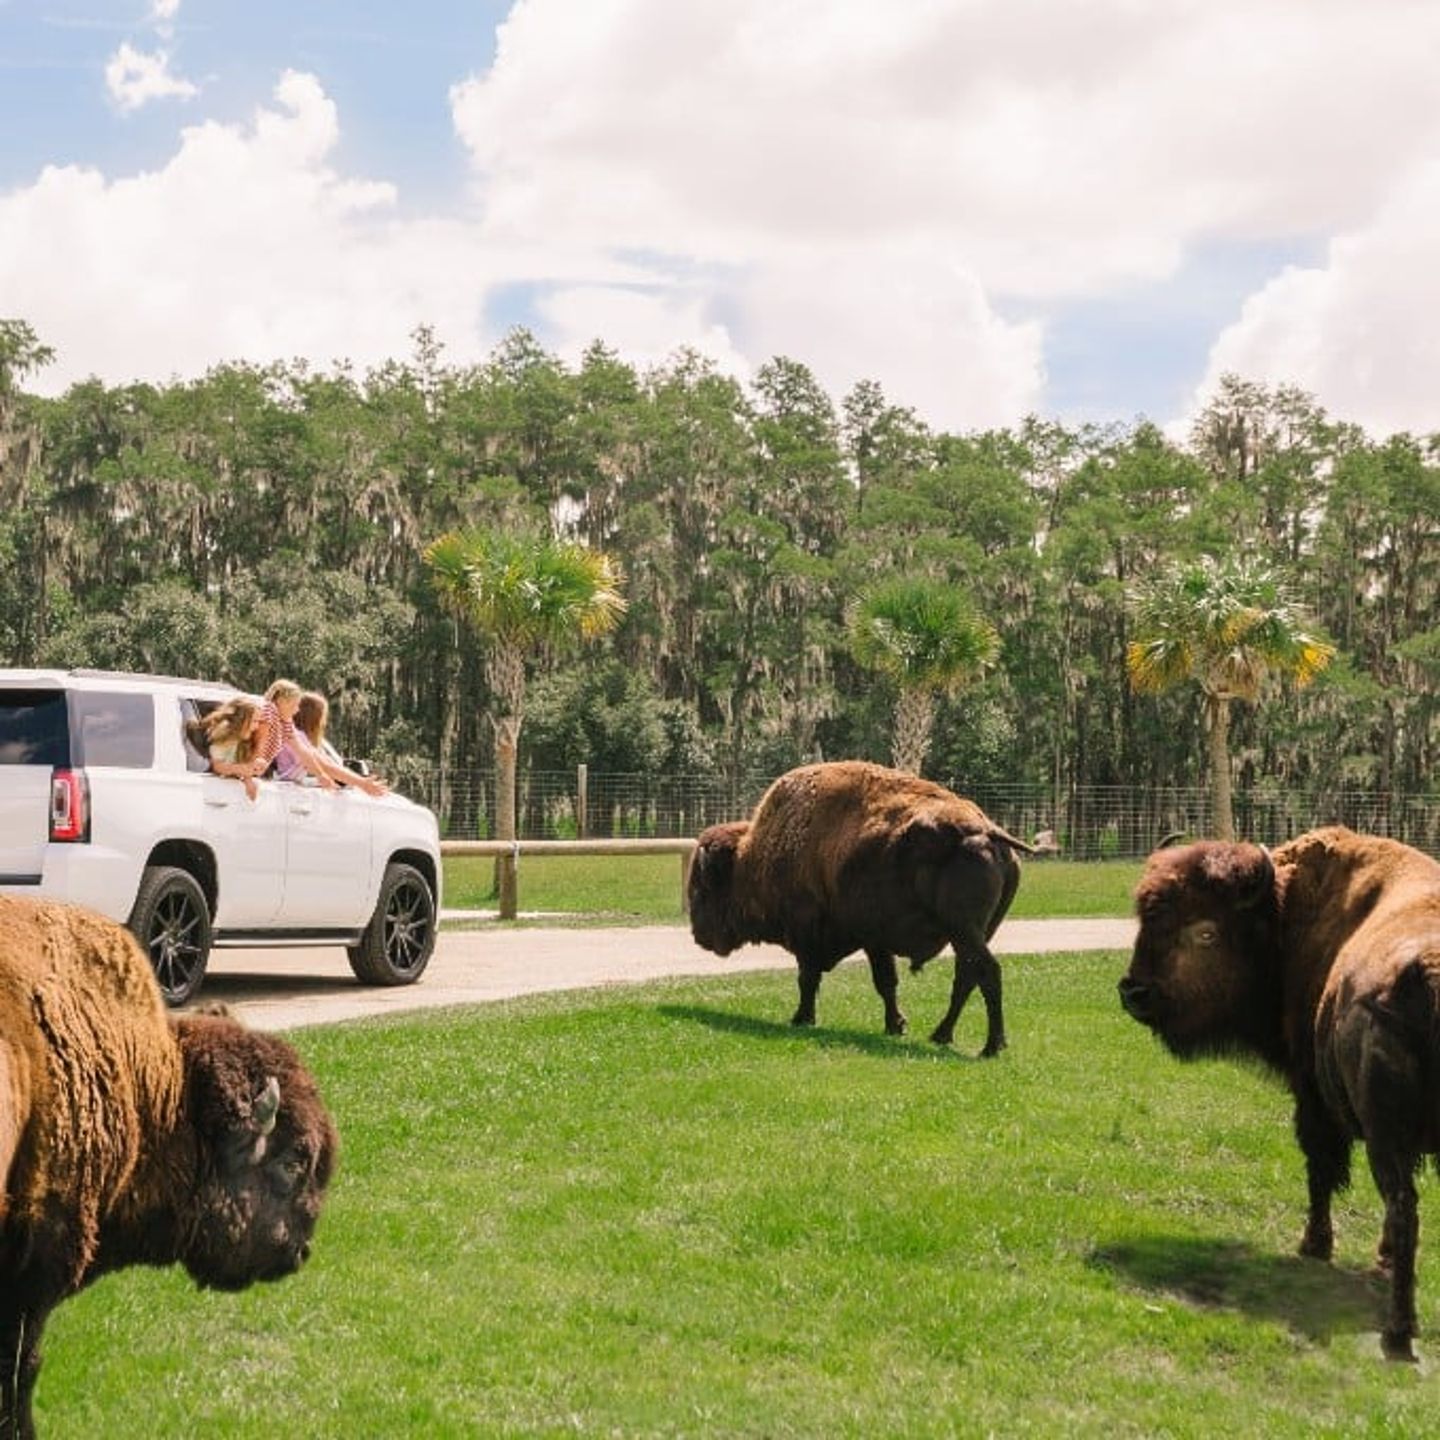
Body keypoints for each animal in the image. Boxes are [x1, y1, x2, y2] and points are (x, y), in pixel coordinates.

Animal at [689, 761, 1032, 1054]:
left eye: (701, 890)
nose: (697, 935)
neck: (752, 859)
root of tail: (985, 831)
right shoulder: (874, 940)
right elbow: (886, 982)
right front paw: (896, 1026)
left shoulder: (808, 934)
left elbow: (808, 978)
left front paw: (801, 1018)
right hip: (974, 933)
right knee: (967, 975)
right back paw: (941, 1035)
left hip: (963, 930)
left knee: (986, 971)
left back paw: (991, 1046)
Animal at [1118, 826, 1440, 1361]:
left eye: (1205, 931)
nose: (1133, 993)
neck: (1283, 916)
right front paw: (1377, 1258)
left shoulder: (1312, 1100)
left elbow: (1320, 1172)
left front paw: (1313, 1246)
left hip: (1382, 1137)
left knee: (1402, 1208)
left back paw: (1398, 1332)